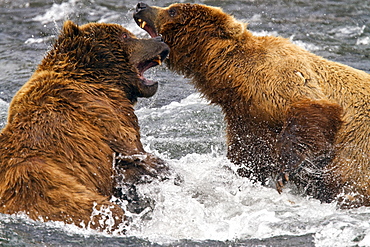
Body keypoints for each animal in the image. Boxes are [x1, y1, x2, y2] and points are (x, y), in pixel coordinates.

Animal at [0, 20, 170, 233]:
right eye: (125, 36)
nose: (160, 38)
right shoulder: (108, 114)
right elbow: (136, 156)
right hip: (52, 191)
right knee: (110, 212)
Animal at [134, 2, 370, 207]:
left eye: (172, 10)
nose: (140, 5)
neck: (236, 79)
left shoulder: (284, 78)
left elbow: (313, 112)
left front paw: (285, 172)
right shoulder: (247, 115)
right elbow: (248, 153)